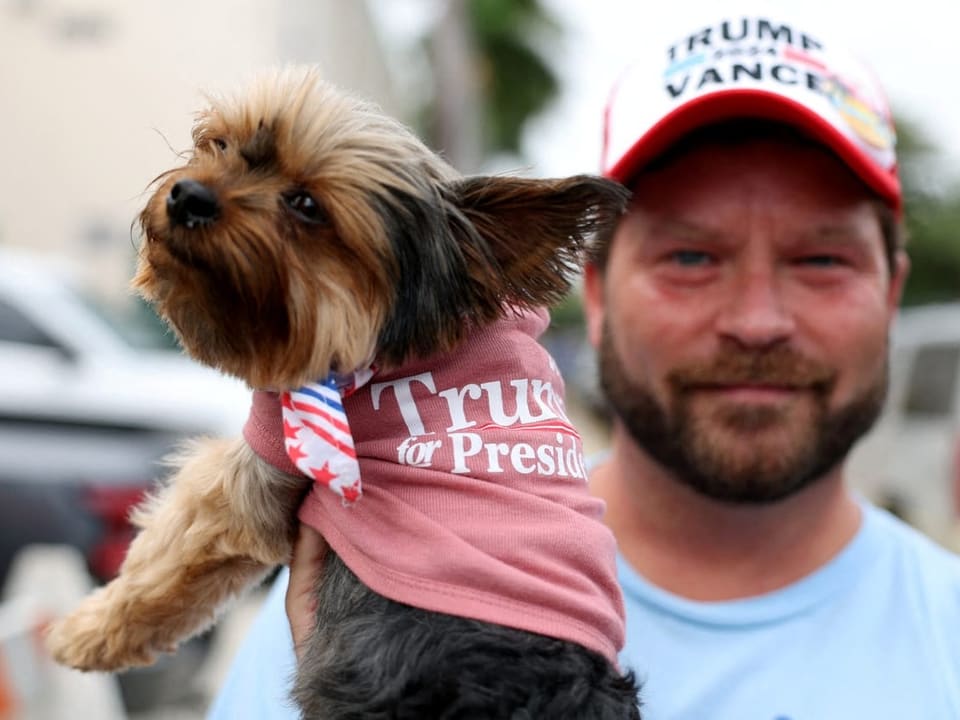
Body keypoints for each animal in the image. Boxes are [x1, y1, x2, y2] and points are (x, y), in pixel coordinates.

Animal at [47, 64, 644, 716]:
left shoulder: (262, 461)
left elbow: (164, 561)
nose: (187, 196)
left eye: (306, 205)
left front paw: (86, 633)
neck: (393, 339)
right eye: (218, 144)